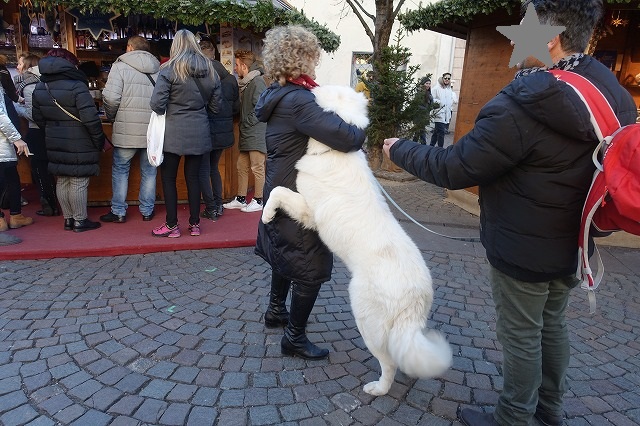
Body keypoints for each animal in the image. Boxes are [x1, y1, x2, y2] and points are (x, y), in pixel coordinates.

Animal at [262, 85, 452, 396]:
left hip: (366, 318)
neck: (333, 151)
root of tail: (414, 294)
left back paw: (378, 388)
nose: (313, 85)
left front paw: (266, 215)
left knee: (389, 361)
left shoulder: (308, 210)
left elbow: (277, 190)